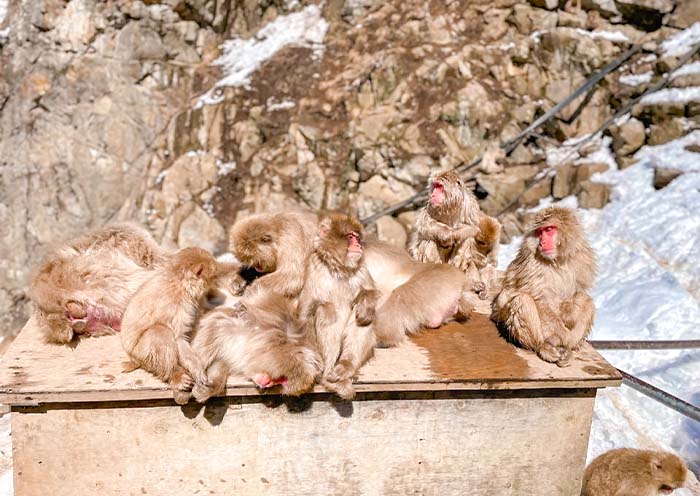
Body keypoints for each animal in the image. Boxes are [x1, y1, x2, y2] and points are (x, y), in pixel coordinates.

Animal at [120, 247, 245, 404]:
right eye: (212, 277)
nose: (211, 283)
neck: (180, 283)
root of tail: (132, 358)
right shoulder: (176, 306)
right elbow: (179, 339)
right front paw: (197, 369)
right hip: (141, 354)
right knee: (159, 332)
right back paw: (175, 375)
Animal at [190, 288, 322, 402]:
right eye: (281, 378)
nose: (267, 383)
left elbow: (221, 362)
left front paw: (211, 387)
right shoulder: (232, 330)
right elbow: (213, 327)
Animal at [298, 213, 379, 400]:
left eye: (357, 237)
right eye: (350, 237)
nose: (358, 245)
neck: (339, 269)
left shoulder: (361, 269)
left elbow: (370, 293)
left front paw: (365, 308)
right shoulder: (314, 268)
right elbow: (305, 314)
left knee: (362, 318)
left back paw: (345, 367)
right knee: (327, 311)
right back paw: (329, 376)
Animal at [491, 206, 596, 367]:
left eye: (549, 229)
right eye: (540, 232)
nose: (542, 242)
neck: (557, 260)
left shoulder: (582, 259)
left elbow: (578, 293)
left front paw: (570, 315)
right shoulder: (532, 264)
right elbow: (540, 299)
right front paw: (562, 335)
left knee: (588, 302)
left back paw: (568, 348)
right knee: (522, 300)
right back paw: (544, 347)